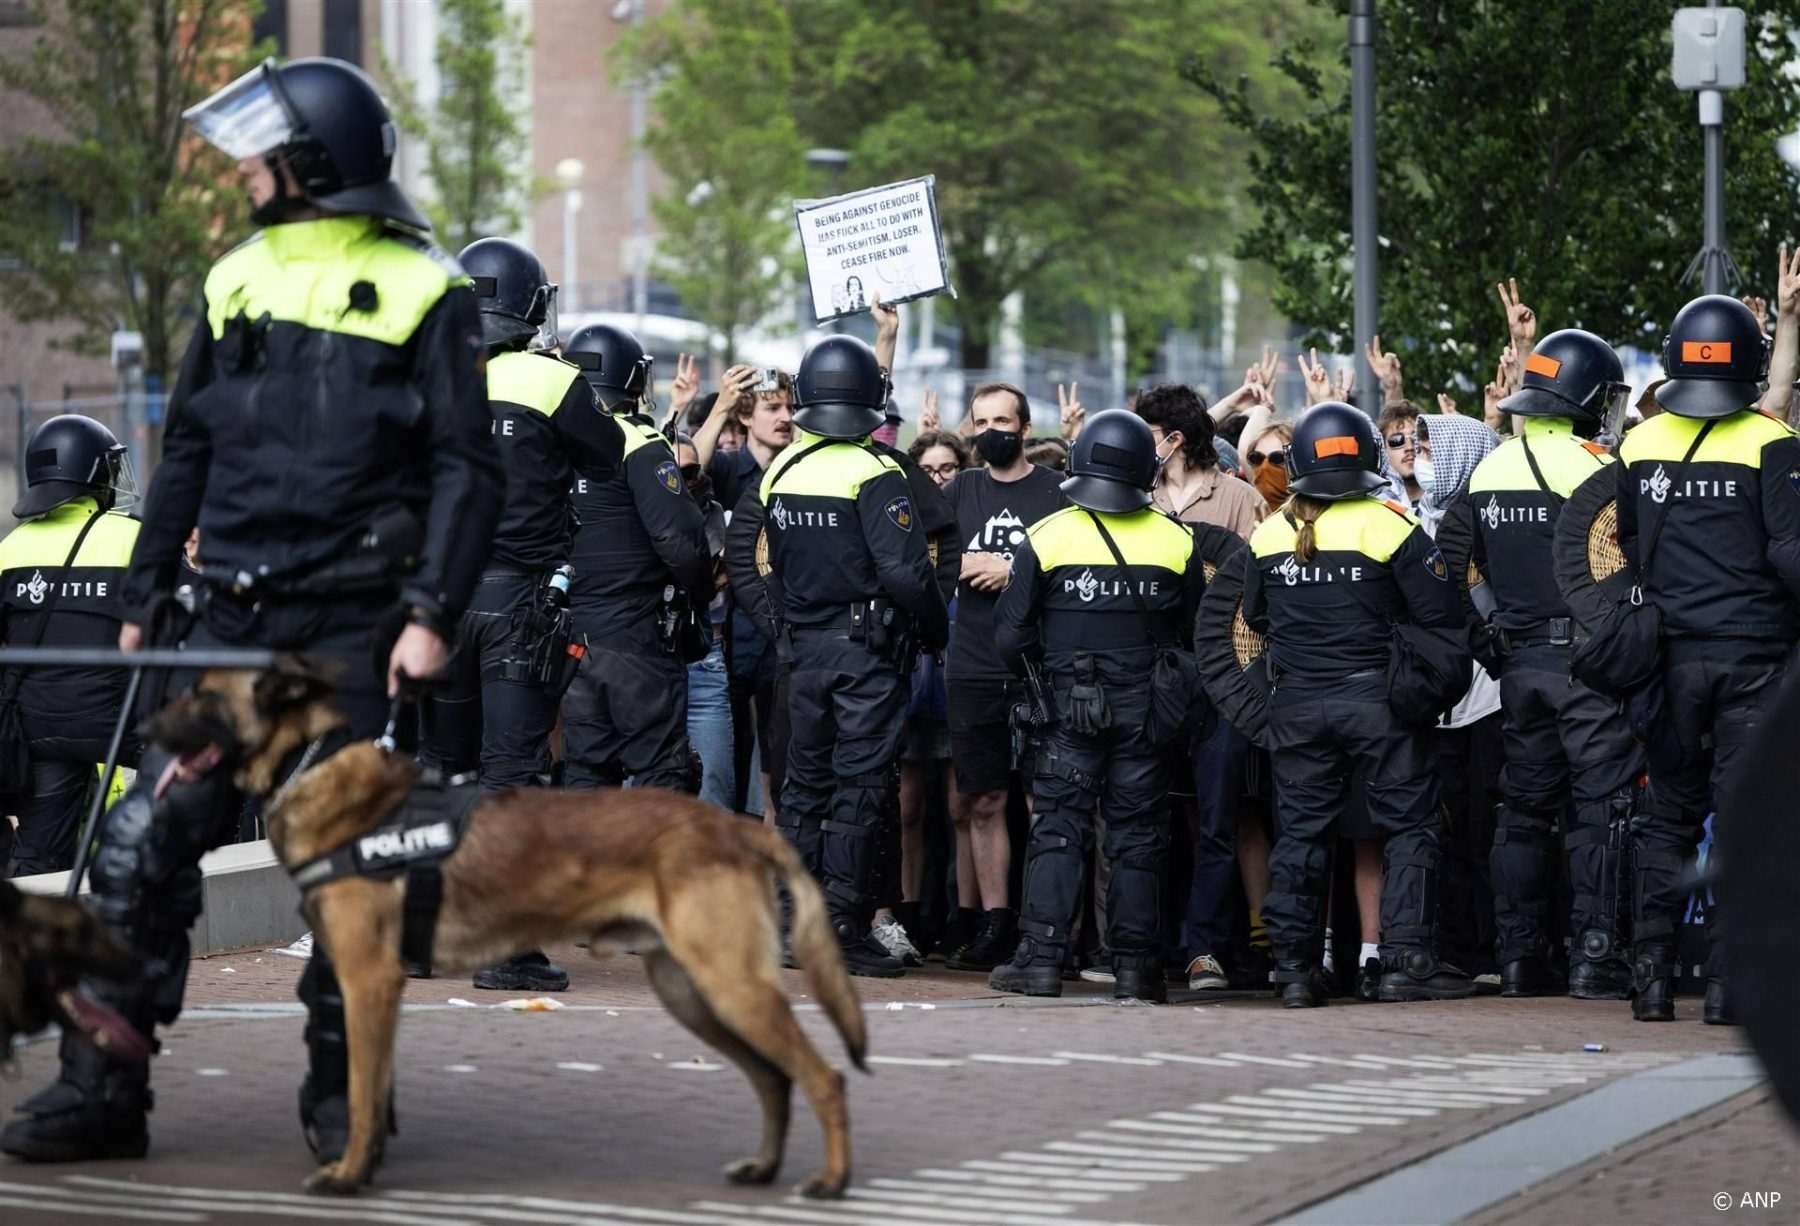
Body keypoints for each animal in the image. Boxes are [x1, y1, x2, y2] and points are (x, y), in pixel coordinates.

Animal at [147, 666, 864, 1202]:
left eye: (203, 694)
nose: (147, 729)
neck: (311, 765)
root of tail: (736, 824)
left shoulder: (367, 980)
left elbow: (360, 1094)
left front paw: (348, 1175)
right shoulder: (376, 988)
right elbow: (373, 1090)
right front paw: (366, 1167)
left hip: (729, 985)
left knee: (824, 1076)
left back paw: (831, 1180)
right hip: (694, 994)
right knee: (774, 1079)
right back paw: (764, 1168)